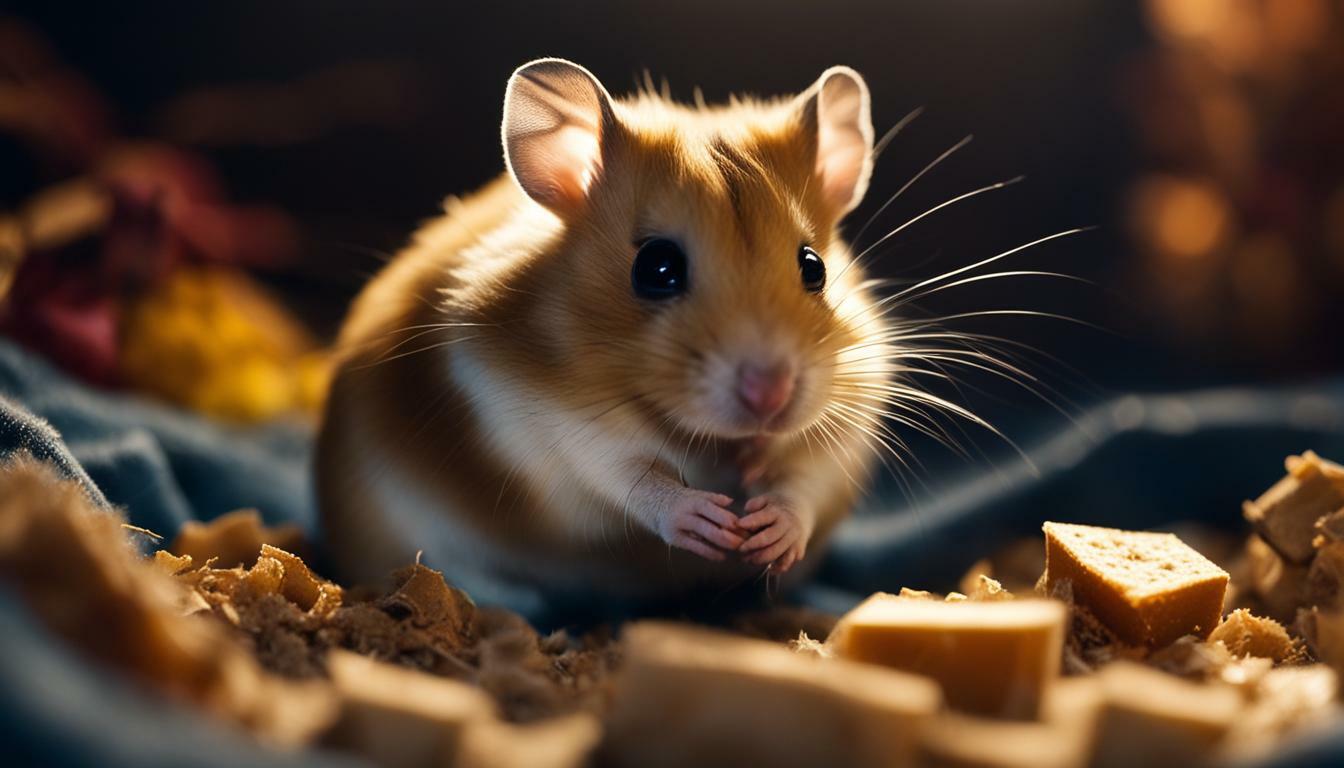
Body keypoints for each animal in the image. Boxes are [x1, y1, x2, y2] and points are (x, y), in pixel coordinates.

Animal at [316, 58, 893, 605]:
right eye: (657, 268)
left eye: (814, 267)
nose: (770, 396)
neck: (710, 440)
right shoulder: (532, 416)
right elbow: (622, 472)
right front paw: (708, 522)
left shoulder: (847, 414)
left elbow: (805, 479)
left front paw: (768, 532)